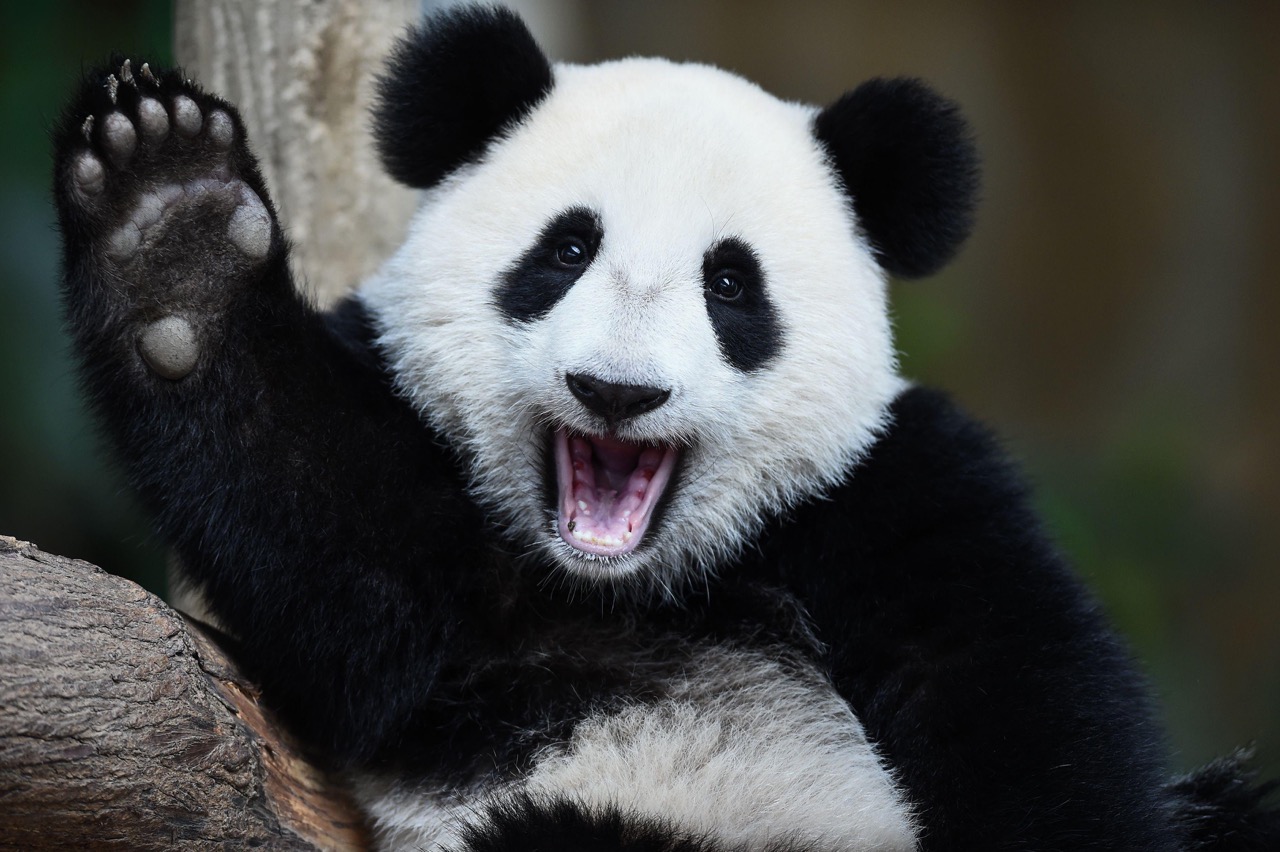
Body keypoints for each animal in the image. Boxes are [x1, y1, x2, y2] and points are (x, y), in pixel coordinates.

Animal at [49, 6, 1280, 849]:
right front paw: (174, 225)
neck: (633, 585)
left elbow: (1014, 693)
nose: (617, 392)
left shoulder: (888, 485)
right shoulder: (432, 561)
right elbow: (341, 556)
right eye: (565, 250)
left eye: (729, 284)